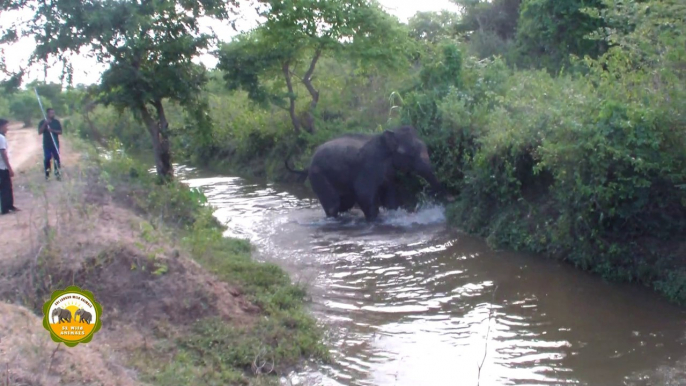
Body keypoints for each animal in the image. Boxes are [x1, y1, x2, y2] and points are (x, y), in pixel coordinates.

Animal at [286, 126, 452, 222]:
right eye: (409, 154)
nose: (450, 198)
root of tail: (307, 165)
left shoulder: (388, 172)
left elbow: (390, 196)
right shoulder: (368, 167)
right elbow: (364, 194)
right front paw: (373, 219)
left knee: (344, 204)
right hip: (318, 177)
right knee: (333, 206)